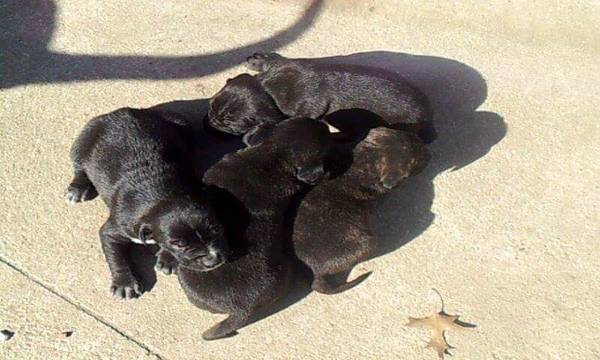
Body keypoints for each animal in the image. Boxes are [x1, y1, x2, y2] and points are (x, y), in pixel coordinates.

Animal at [66, 108, 227, 300]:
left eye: (216, 229)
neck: (162, 195)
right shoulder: (115, 230)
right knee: (79, 165)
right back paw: (78, 187)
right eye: (178, 244)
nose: (212, 260)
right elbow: (116, 256)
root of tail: (123, 111)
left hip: (180, 122)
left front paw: (167, 258)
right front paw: (125, 284)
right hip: (85, 139)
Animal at [209, 52, 434, 143]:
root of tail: (428, 118)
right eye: (210, 107)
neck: (267, 88)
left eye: (230, 126)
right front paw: (259, 60)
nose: (210, 122)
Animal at [292, 128, 428, 294]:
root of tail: (316, 274)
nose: (429, 154)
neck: (366, 160)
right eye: (414, 163)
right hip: (368, 244)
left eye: (411, 136)